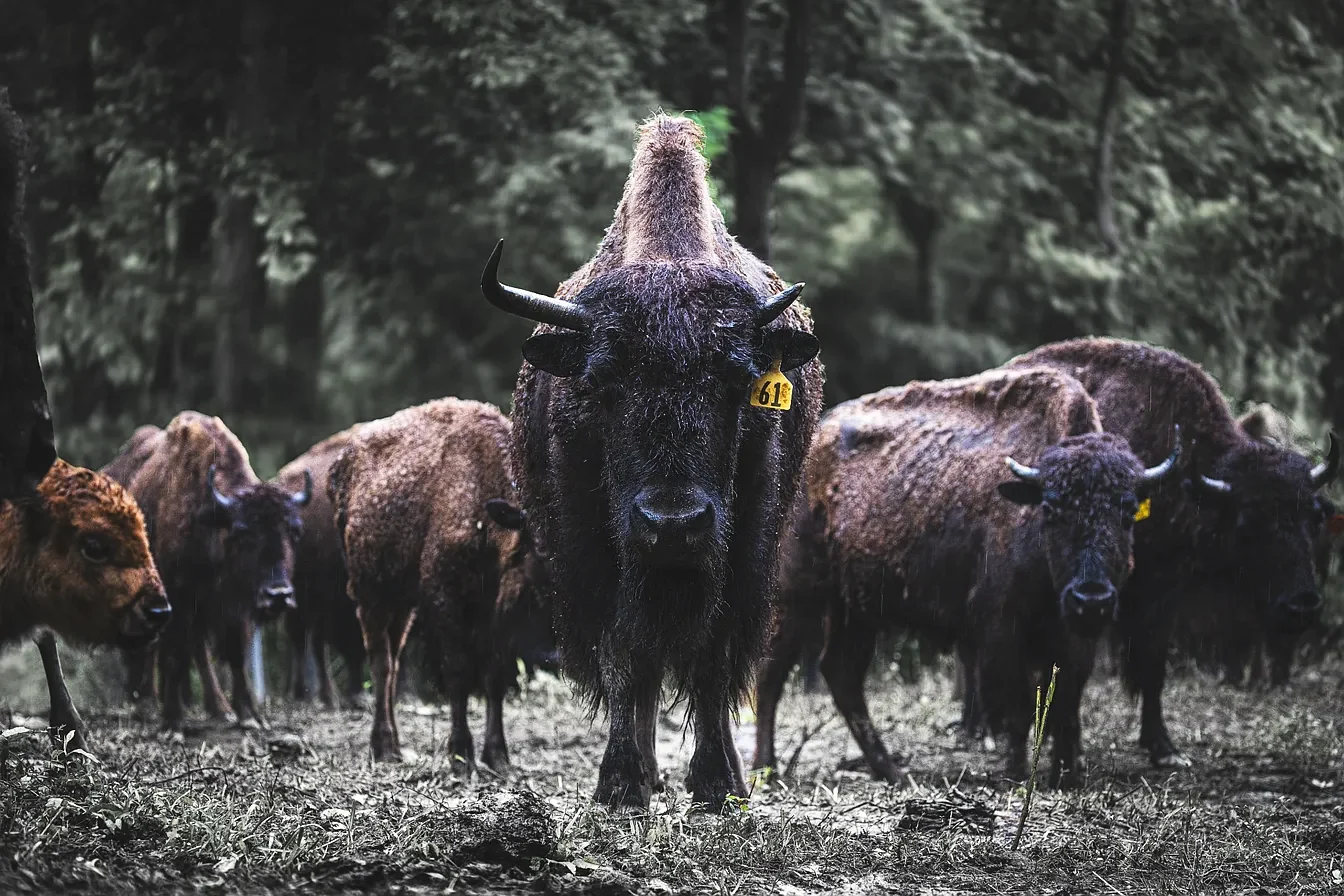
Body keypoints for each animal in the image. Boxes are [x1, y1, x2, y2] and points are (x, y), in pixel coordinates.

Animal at [481, 115, 823, 810]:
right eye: (602, 383)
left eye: (735, 381)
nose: (673, 523)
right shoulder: (592, 553)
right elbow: (624, 655)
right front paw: (620, 782)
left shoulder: (741, 551)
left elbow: (713, 658)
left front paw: (716, 784)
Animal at [1006, 338, 1339, 766]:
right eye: (1250, 521)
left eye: (1313, 516)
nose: (1302, 605)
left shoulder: (1164, 592)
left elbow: (1151, 665)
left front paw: (1161, 747)